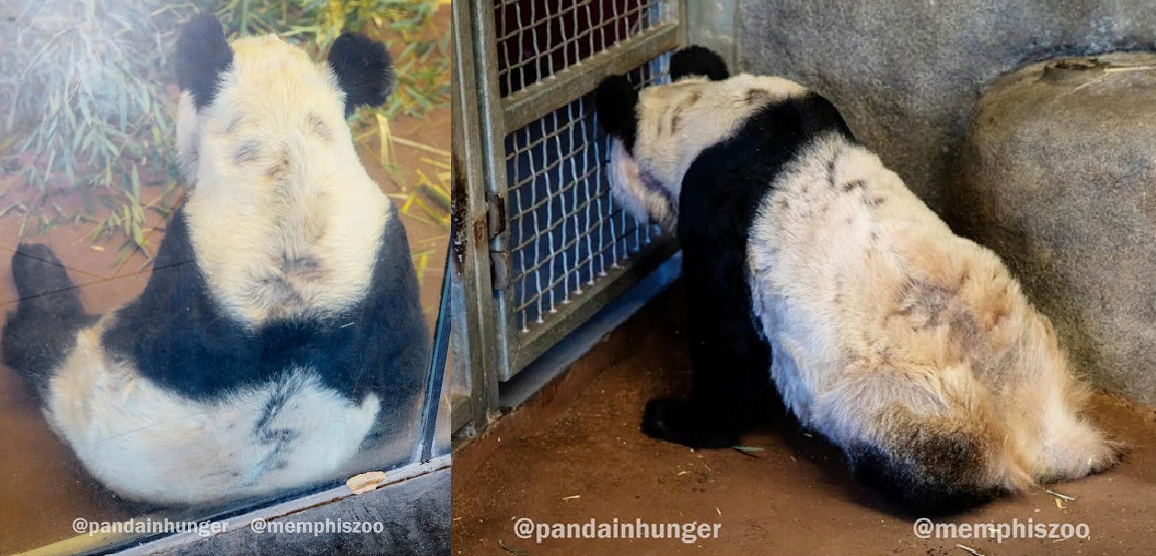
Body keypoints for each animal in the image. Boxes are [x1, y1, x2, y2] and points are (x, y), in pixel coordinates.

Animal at [0, 15, 429, 505]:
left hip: (80, 384)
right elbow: (407, 370)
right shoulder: (386, 268)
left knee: (37, 342)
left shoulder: (189, 255)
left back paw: (36, 267)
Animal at [594, 46, 1123, 513]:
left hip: (904, 399)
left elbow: (727, 339)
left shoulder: (716, 214)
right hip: (1046, 351)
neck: (712, 116)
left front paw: (676, 417)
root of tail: (1041, 435)